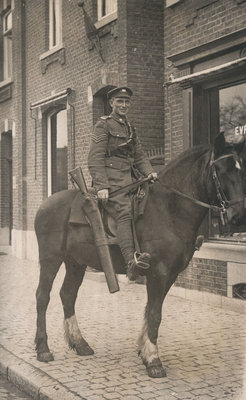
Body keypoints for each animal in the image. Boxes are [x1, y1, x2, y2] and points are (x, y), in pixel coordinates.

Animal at [33, 134, 245, 378]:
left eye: (241, 168)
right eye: (220, 169)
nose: (239, 216)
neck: (170, 208)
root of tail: (44, 205)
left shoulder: (170, 274)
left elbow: (151, 309)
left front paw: (144, 351)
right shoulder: (158, 272)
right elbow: (154, 313)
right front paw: (153, 360)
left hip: (76, 263)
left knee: (68, 295)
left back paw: (80, 344)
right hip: (51, 259)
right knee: (42, 296)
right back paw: (43, 349)